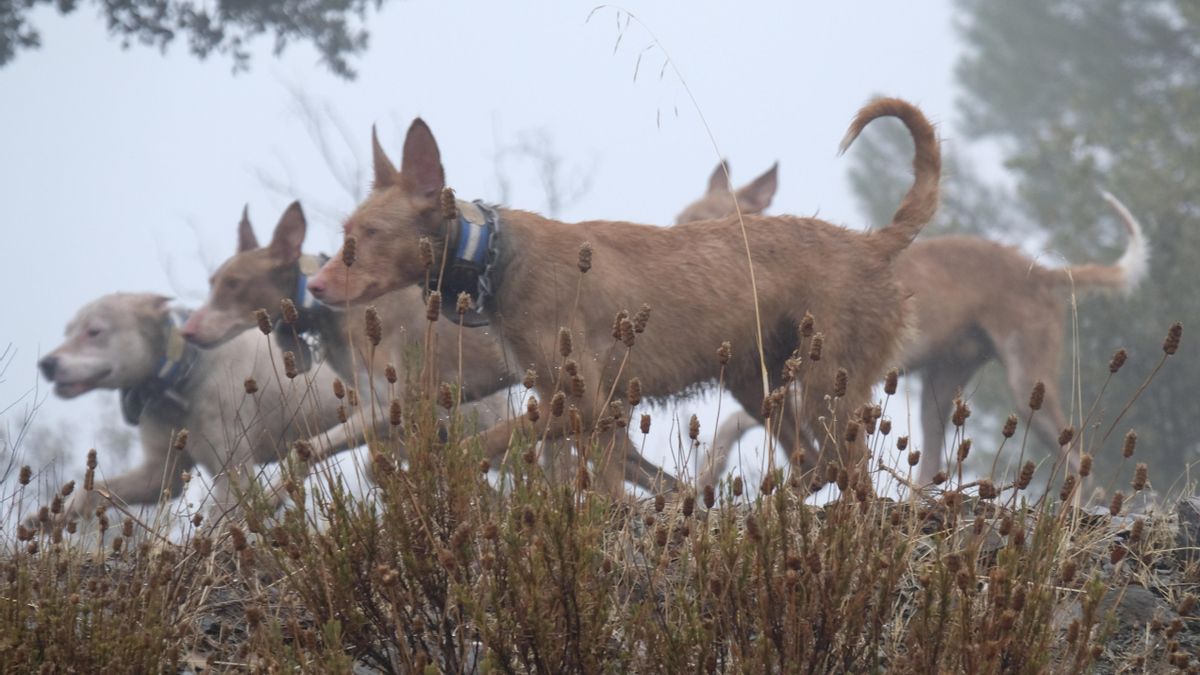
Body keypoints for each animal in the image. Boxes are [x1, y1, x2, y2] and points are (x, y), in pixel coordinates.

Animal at [304, 97, 940, 492]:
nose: (313, 285)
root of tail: (869, 244)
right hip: (760, 385)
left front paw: (444, 464)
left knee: (850, 479)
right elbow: (603, 488)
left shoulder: (586, 404)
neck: (494, 254)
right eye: (345, 233)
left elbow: (490, 440)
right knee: (818, 470)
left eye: (368, 236)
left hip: (827, 389)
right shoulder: (596, 416)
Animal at [681, 166, 1147, 482]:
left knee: (1080, 466)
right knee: (931, 468)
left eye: (718, 220)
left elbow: (735, 421)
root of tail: (1042, 271)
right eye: (686, 219)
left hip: (1027, 381)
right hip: (939, 390)